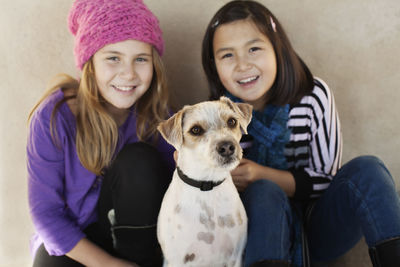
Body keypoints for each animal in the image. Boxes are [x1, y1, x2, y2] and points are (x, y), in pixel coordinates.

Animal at [157, 97, 253, 266]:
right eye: (195, 130)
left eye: (232, 121)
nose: (227, 147)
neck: (207, 185)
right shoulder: (178, 259)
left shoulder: (235, 256)